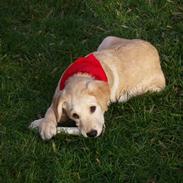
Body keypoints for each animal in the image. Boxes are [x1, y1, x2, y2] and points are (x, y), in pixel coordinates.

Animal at [29, 36, 166, 140]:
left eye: (93, 108)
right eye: (75, 115)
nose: (92, 134)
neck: (80, 75)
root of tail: (154, 49)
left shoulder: (101, 122)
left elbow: (71, 129)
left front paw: (42, 125)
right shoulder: (58, 92)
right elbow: (51, 109)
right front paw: (44, 124)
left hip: (150, 88)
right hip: (107, 39)